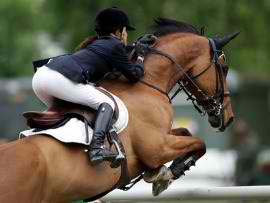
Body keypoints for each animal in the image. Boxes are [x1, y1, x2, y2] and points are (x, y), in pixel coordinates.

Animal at [0, 18, 238, 202]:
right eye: (224, 68)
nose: (228, 117)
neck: (146, 83)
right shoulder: (157, 147)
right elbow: (200, 142)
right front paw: (170, 172)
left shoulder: (163, 137)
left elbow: (186, 132)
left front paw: (160, 172)